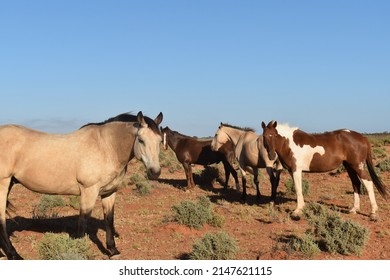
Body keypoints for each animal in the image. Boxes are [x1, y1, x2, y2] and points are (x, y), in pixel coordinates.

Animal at [0, 110, 162, 260]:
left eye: (160, 141)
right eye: (141, 140)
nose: (155, 172)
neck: (106, 147)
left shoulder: (109, 192)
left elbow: (109, 219)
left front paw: (113, 250)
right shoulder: (89, 191)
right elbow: (83, 221)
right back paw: (14, 255)